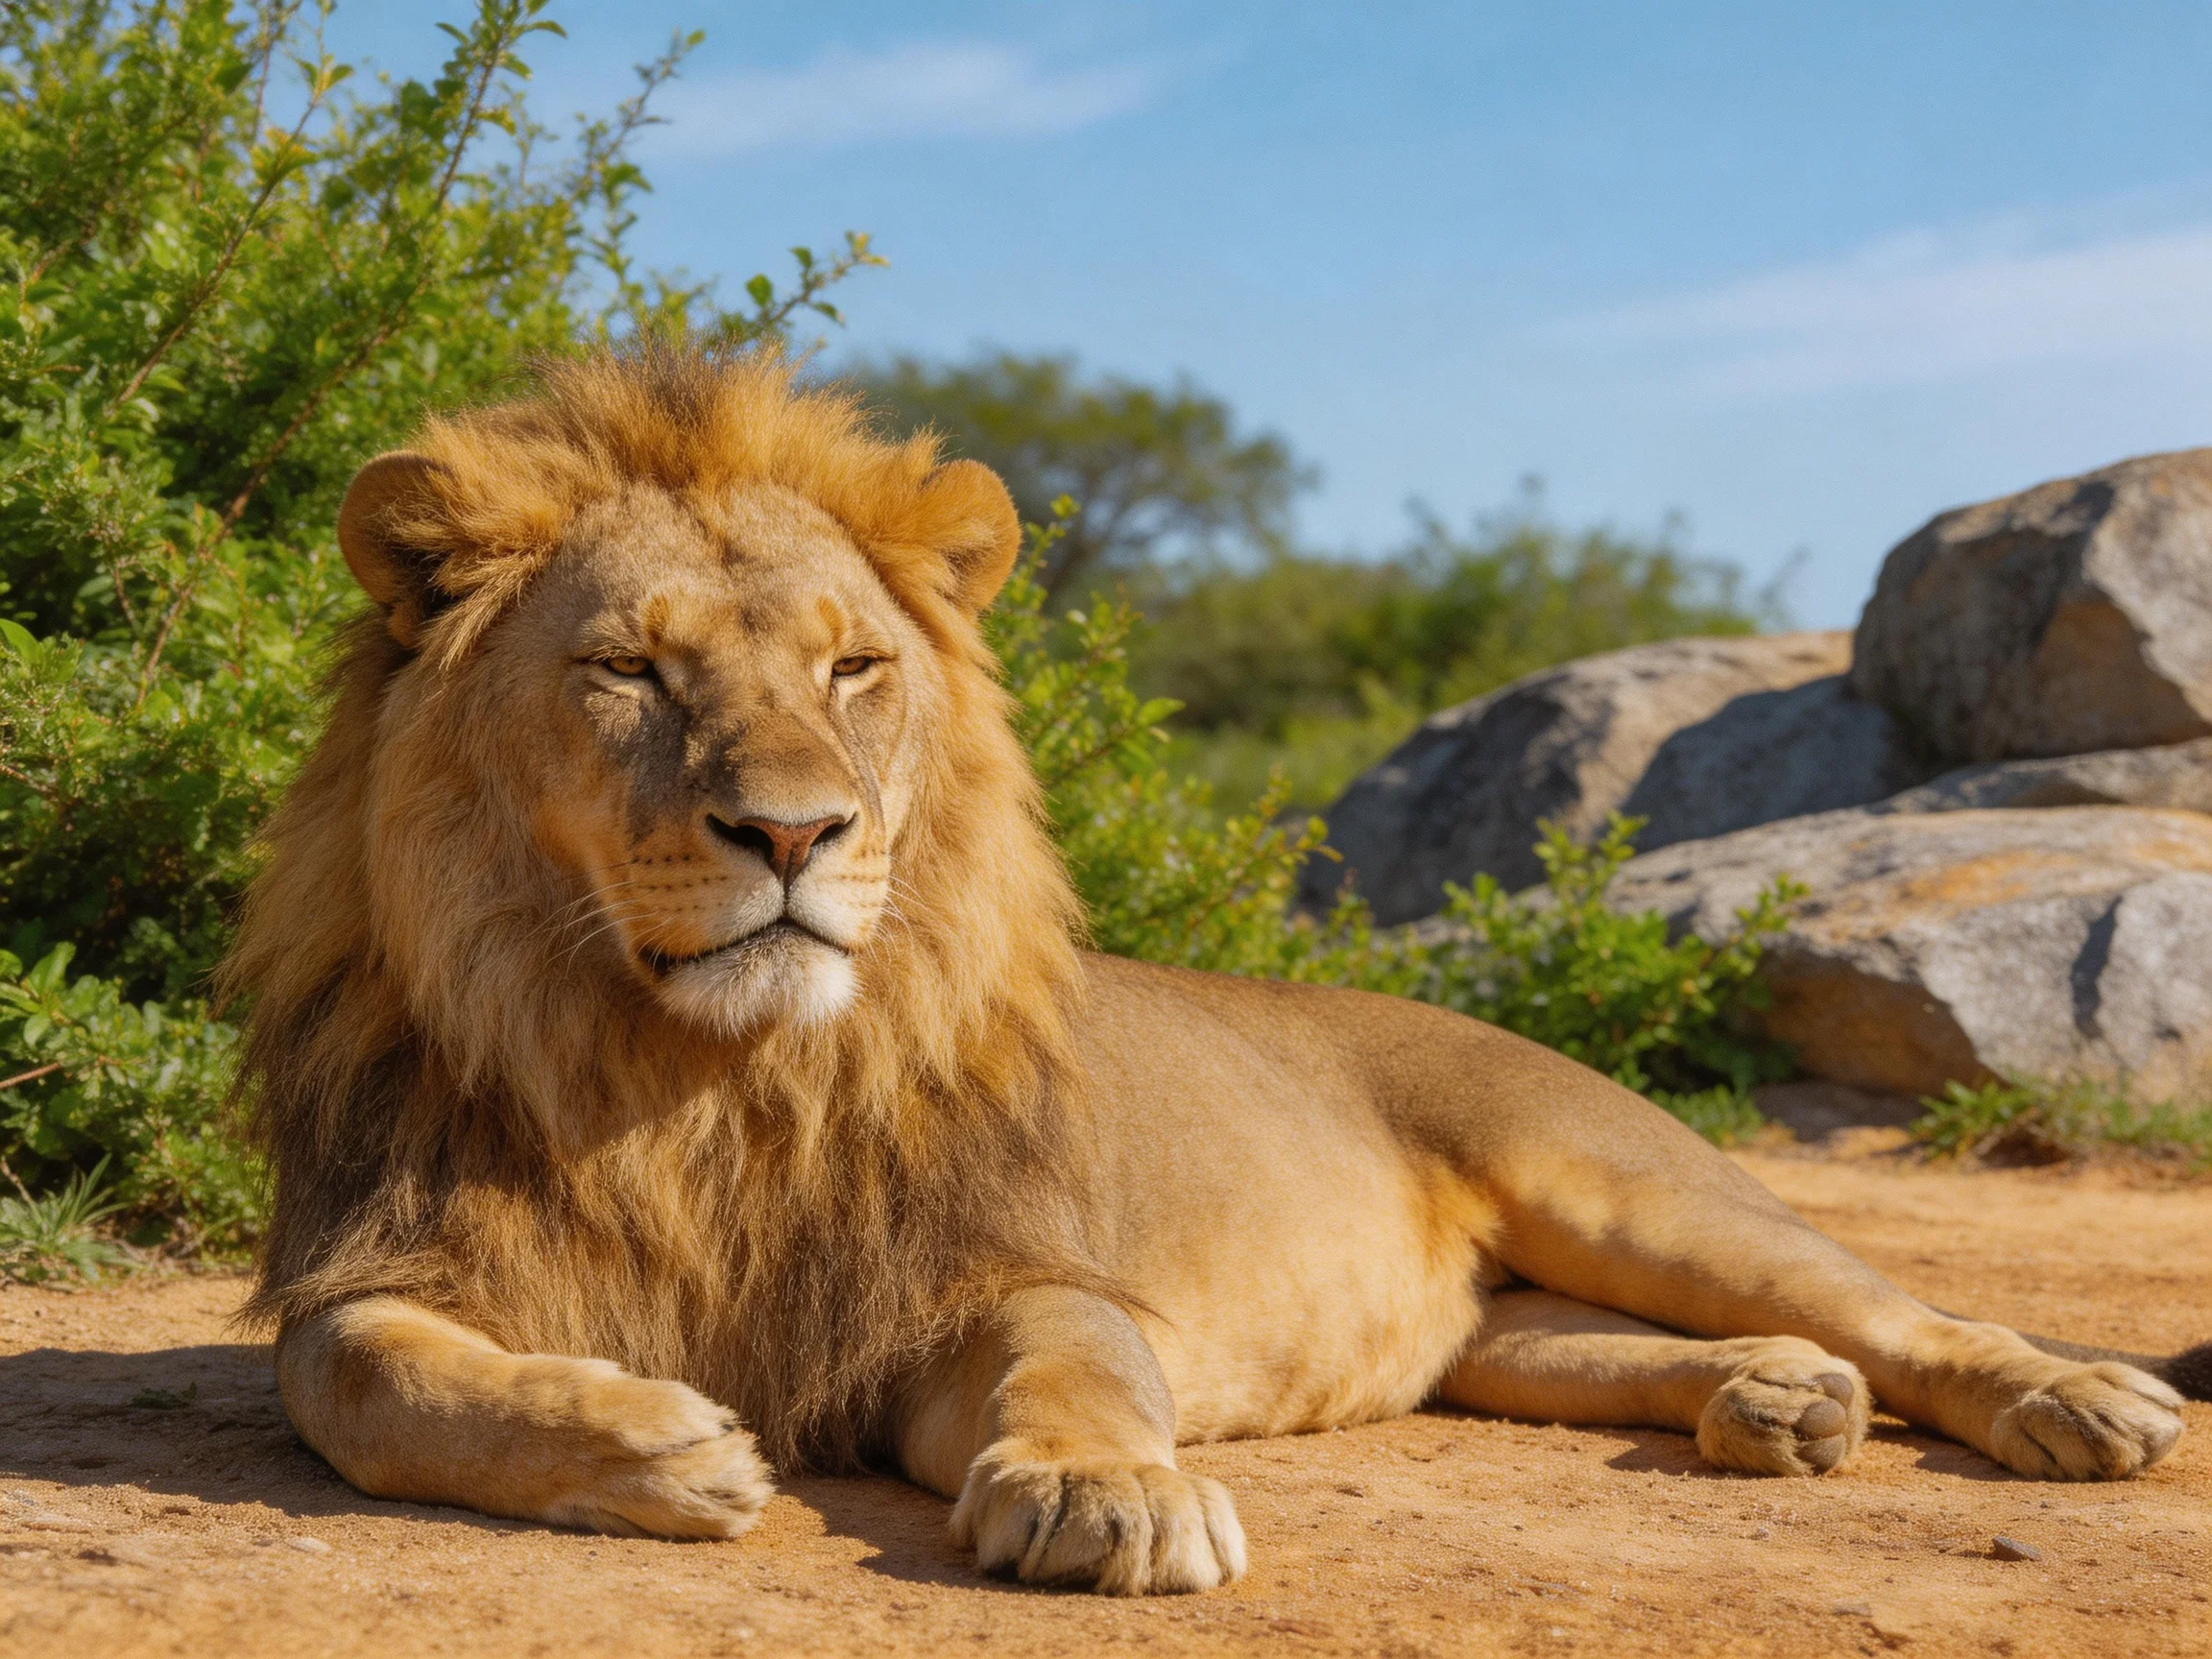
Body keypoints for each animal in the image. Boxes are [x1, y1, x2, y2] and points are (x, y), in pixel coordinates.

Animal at [225, 345, 2206, 1596]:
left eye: (853, 666)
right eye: (629, 670)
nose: (792, 833)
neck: (703, 1080)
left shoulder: (997, 1275)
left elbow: (1077, 1367)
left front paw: (1106, 1490)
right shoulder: (372, 1265)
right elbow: (369, 1383)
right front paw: (657, 1443)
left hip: (1629, 1185)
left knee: (1902, 1311)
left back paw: (2072, 1400)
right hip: (1511, 1328)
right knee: (1578, 1345)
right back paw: (1773, 1399)